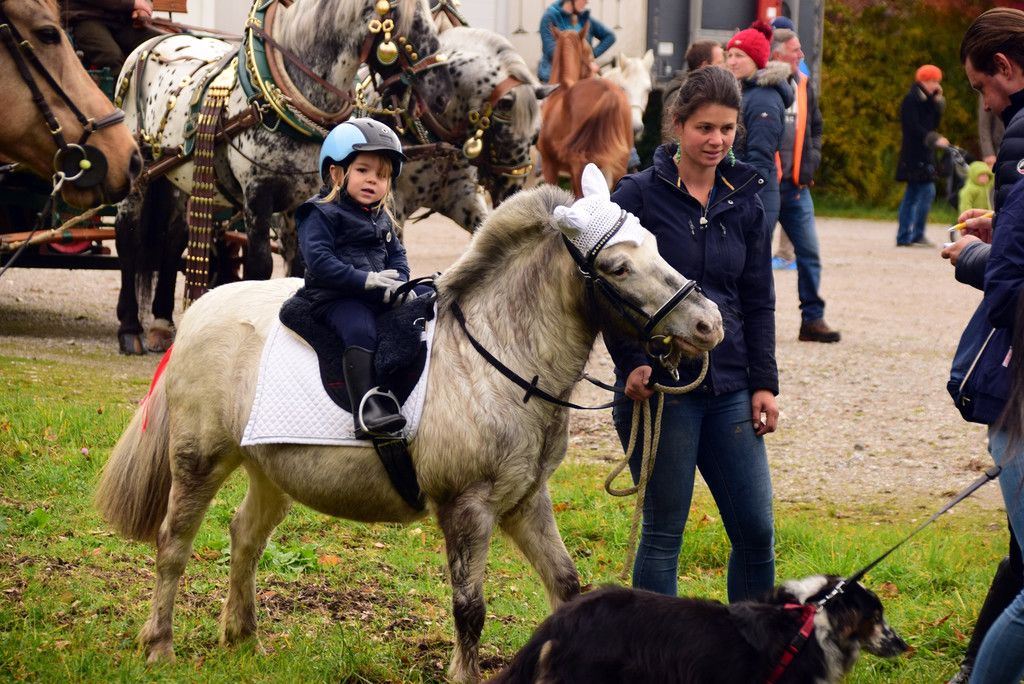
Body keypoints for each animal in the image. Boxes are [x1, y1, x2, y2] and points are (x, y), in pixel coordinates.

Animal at [95, 180, 724, 682]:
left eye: (658, 246)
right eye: (618, 267)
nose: (708, 324)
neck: (500, 358)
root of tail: (199, 312)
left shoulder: (527, 501)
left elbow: (566, 586)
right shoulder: (468, 507)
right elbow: (470, 607)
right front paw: (464, 675)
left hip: (270, 470)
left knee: (245, 536)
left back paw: (244, 638)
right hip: (199, 460)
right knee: (173, 545)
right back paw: (159, 646)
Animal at [112, 0, 452, 355]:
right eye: (402, 16)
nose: (442, 95)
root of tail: (154, 41)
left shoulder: (307, 199)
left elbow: (303, 266)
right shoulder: (258, 194)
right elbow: (260, 266)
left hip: (181, 175)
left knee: (175, 237)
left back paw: (161, 324)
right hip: (136, 169)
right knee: (128, 236)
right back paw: (130, 327)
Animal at [536, 24, 632, 197]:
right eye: (589, 52)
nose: (595, 70)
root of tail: (609, 92)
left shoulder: (550, 167)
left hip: (582, 170)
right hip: (620, 168)